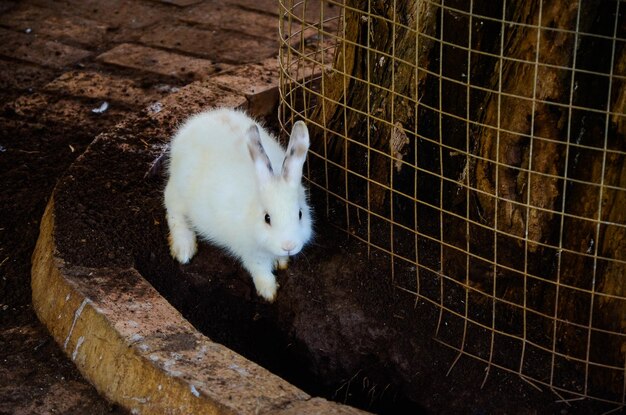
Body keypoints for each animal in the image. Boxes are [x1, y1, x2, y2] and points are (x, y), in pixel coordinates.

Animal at [165, 107, 312, 302]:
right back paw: (184, 249)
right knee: (174, 212)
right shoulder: (250, 252)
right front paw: (269, 291)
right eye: (267, 218)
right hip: (178, 195)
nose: (288, 246)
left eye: (300, 214)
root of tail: (192, 125)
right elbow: (260, 269)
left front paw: (281, 262)